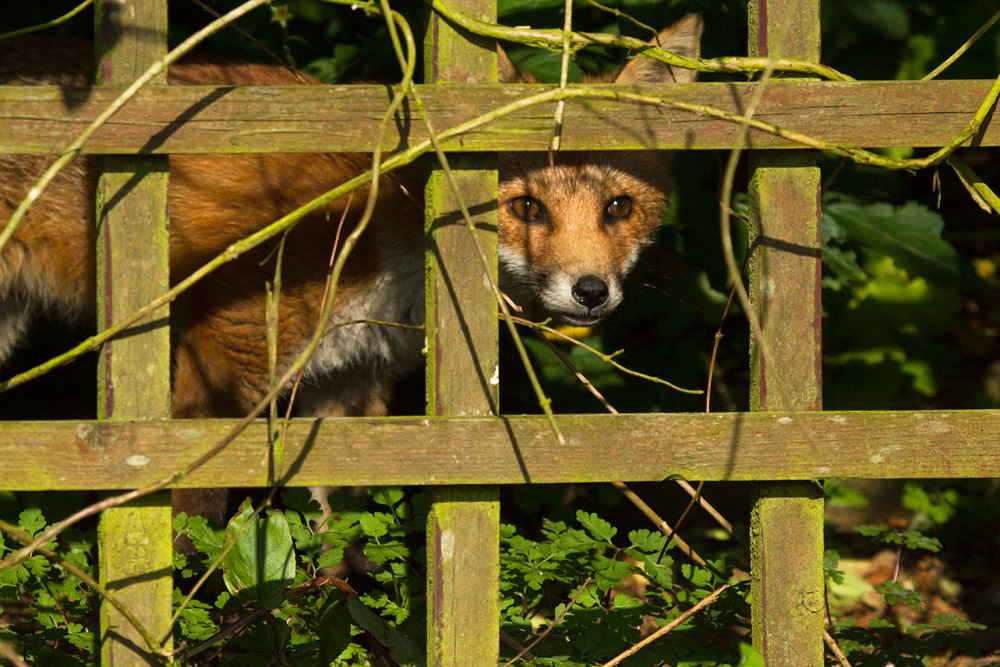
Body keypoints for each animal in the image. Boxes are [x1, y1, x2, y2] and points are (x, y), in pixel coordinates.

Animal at [0, 16, 701, 516]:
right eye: (525, 207)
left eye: (618, 207)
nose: (592, 292)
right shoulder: (219, 359)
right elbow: (194, 518)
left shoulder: (347, 388)